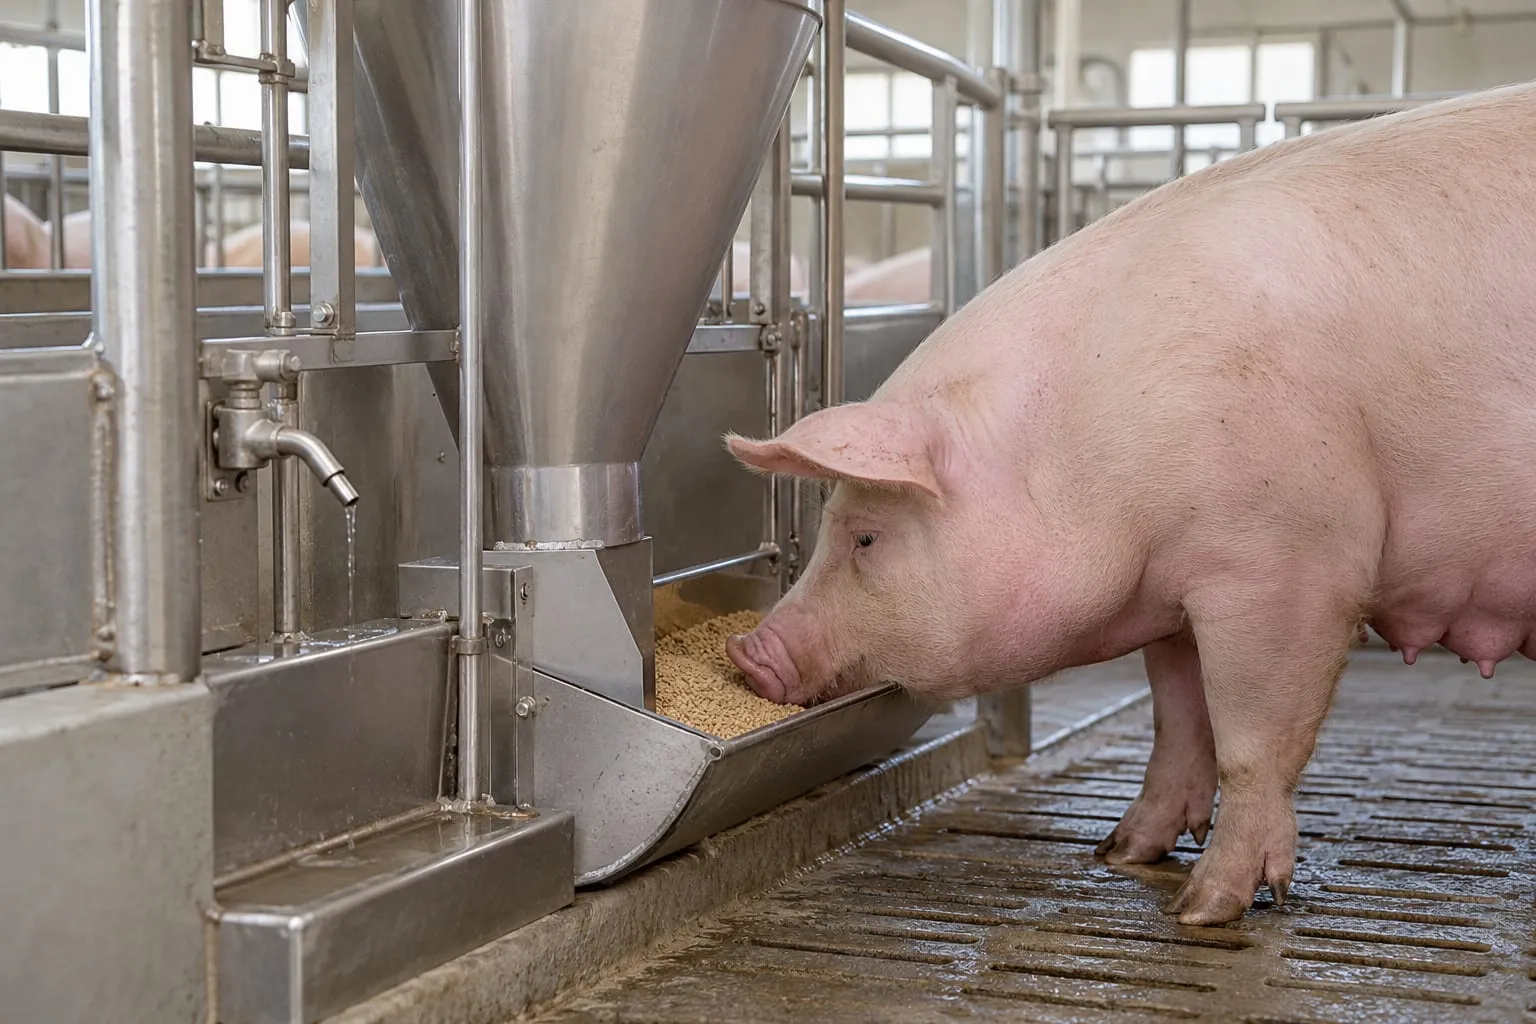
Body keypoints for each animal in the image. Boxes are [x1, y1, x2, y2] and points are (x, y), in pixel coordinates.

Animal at [724, 81, 1536, 926]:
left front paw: (1205, 909)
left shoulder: (1290, 569)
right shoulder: (1176, 587)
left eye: (866, 538)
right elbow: (1176, 719)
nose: (748, 653)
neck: (1081, 445)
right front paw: (1120, 853)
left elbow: (1250, 743)